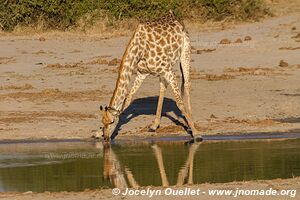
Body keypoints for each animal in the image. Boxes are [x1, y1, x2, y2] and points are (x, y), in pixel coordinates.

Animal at [99, 11, 200, 141]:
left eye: (111, 122)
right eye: (102, 122)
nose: (106, 138)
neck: (139, 49)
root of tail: (175, 17)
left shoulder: (169, 71)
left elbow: (180, 103)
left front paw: (196, 133)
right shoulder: (142, 73)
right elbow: (127, 99)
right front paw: (97, 134)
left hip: (185, 52)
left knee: (187, 84)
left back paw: (190, 121)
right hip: (162, 71)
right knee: (163, 87)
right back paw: (155, 125)